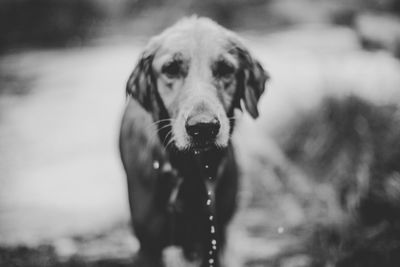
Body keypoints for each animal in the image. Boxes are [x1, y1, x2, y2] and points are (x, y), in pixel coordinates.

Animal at [119, 17, 268, 267]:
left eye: (226, 69)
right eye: (170, 69)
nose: (203, 127)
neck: (188, 170)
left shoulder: (214, 237)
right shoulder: (149, 246)